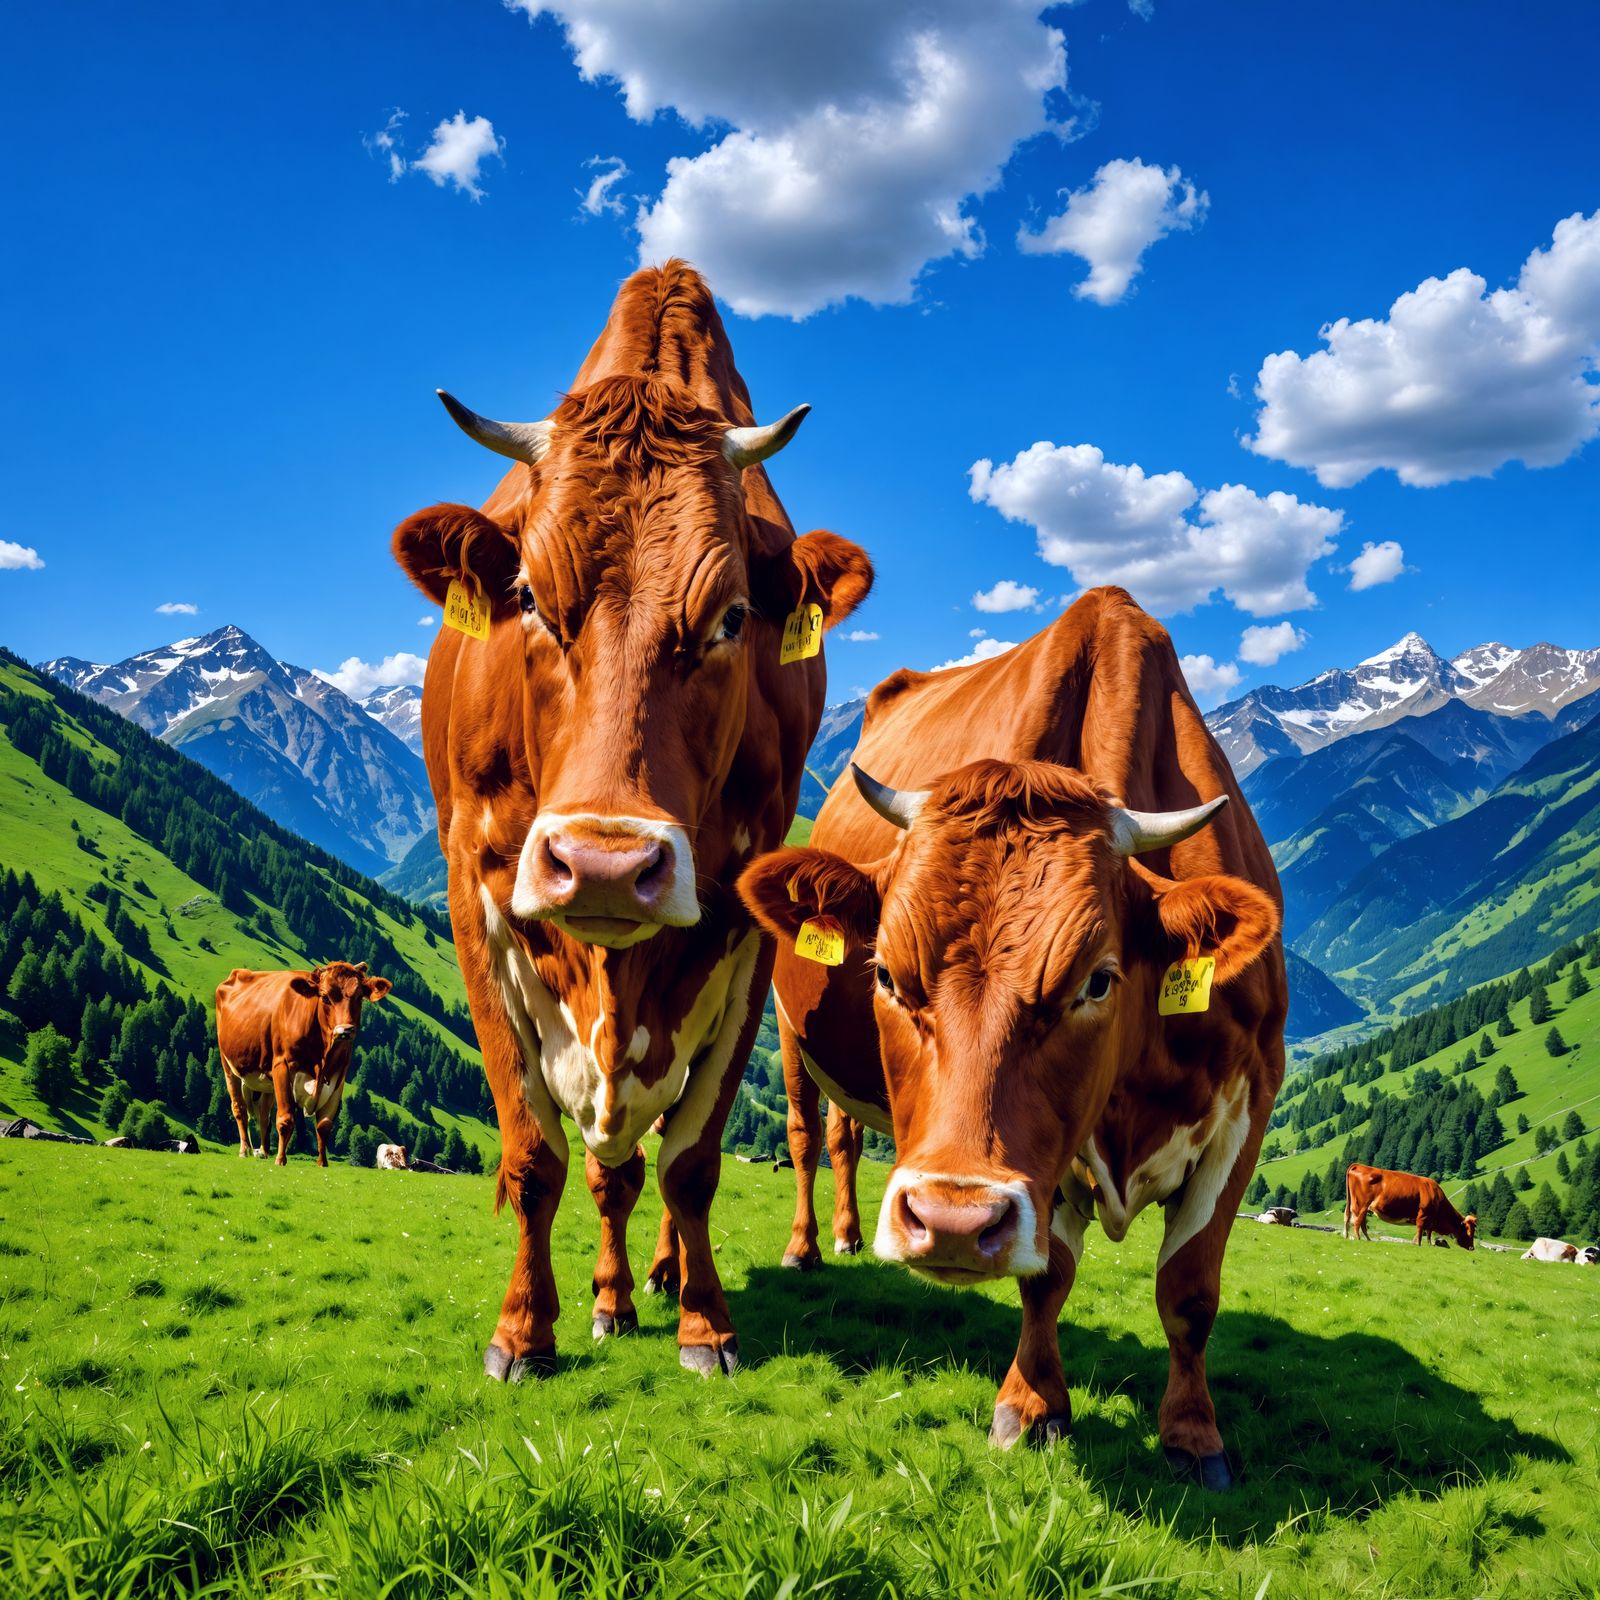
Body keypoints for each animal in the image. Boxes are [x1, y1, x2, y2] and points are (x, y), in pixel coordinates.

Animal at [216, 963, 391, 1165]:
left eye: (358, 996)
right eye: (325, 997)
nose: (344, 1031)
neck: (322, 1058)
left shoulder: (338, 1076)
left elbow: (324, 1125)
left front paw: (322, 1163)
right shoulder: (282, 1066)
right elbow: (285, 1119)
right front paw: (281, 1160)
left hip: (266, 1080)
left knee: (264, 1113)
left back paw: (264, 1152)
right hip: (228, 1065)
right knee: (239, 1108)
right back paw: (245, 1150)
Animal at [392, 262, 872, 1382]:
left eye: (732, 616)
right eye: (528, 594)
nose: (605, 865)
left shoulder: (749, 920)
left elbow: (691, 1159)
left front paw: (705, 1324)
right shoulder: (473, 886)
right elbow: (534, 1152)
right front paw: (525, 1329)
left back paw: (652, 1278)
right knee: (607, 1163)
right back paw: (611, 1295)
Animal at [737, 588, 1286, 1490]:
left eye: (1097, 979)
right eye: (886, 973)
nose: (951, 1221)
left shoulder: (1248, 1109)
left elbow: (1189, 1290)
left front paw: (1193, 1435)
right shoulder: (1045, 1162)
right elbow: (1047, 1276)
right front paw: (1032, 1408)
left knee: (848, 1136)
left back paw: (850, 1235)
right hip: (785, 1028)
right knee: (808, 1136)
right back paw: (808, 1249)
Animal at [1343, 1163, 1476, 1248]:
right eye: (1468, 1231)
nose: (1472, 1248)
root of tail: (1359, 1165)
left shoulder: (1431, 1221)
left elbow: (1428, 1233)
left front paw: (1428, 1245)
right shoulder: (1422, 1216)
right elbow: (1420, 1231)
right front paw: (1418, 1244)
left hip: (1359, 1206)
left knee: (1355, 1221)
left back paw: (1364, 1239)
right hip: (1361, 1205)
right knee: (1357, 1222)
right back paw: (1359, 1239)